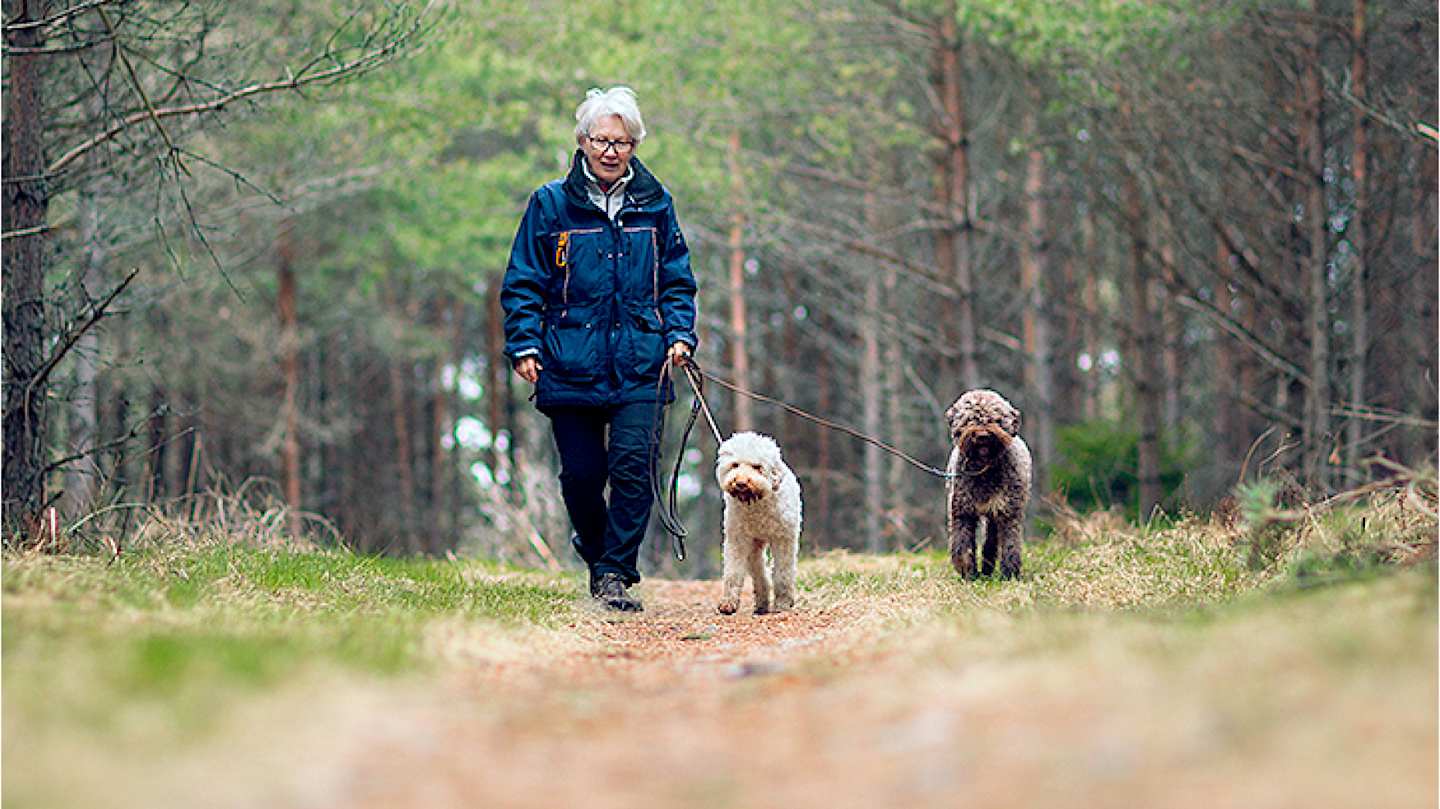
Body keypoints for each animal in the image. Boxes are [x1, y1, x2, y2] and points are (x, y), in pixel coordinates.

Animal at [714, 431, 806, 613]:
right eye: (735, 465)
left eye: (757, 467)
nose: (740, 483)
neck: (756, 503)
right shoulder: (737, 539)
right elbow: (732, 572)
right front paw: (728, 603)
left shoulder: (783, 539)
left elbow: (783, 573)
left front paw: (783, 603)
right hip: (753, 546)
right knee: (759, 573)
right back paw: (762, 602)